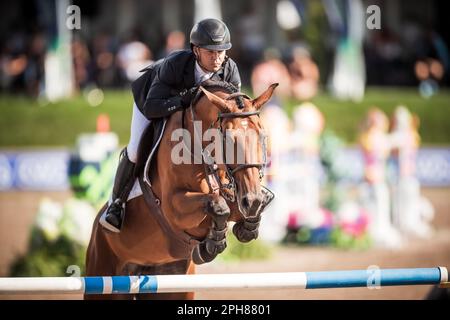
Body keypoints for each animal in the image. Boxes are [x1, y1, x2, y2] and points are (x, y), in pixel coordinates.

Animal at [82, 80, 276, 300]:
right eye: (227, 138)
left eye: (262, 135)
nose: (251, 201)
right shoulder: (174, 209)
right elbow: (217, 206)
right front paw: (211, 245)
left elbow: (242, 206)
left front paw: (246, 226)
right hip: (103, 271)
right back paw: (113, 216)